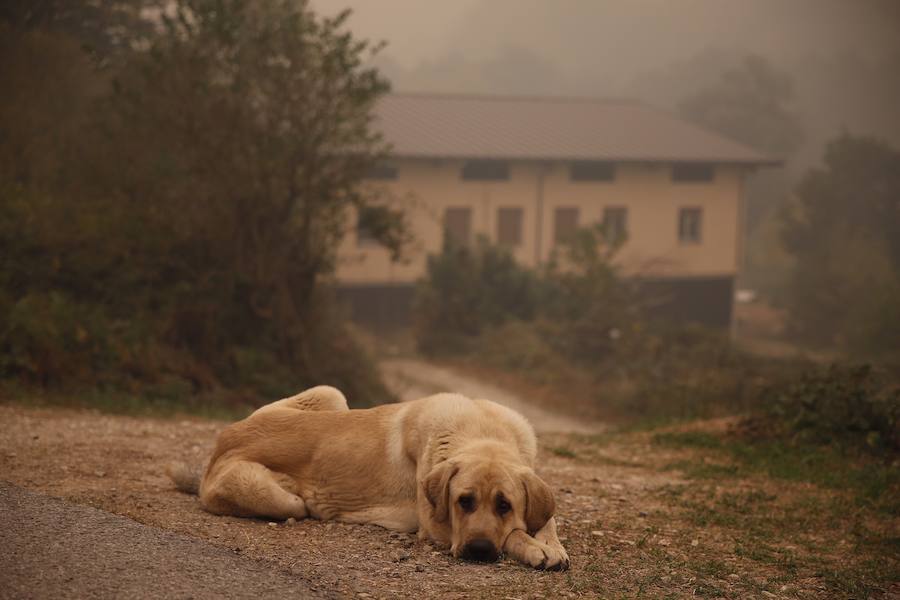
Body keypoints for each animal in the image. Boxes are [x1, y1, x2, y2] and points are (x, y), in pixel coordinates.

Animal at [167, 386, 568, 568]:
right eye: (463, 502)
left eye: (504, 505)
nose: (479, 551)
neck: (481, 431)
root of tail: (225, 438)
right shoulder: (438, 527)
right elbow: (516, 531)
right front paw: (533, 546)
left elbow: (545, 517)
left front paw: (550, 543)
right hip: (284, 500)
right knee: (292, 503)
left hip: (331, 396)